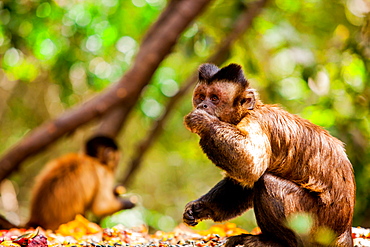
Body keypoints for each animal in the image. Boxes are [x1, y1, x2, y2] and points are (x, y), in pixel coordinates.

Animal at [182, 62, 356, 246]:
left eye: (214, 98)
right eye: (201, 97)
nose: (202, 106)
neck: (247, 112)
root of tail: (344, 233)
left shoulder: (257, 121)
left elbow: (250, 167)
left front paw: (203, 121)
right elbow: (243, 181)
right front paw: (199, 208)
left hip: (317, 228)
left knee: (266, 181)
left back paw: (275, 242)